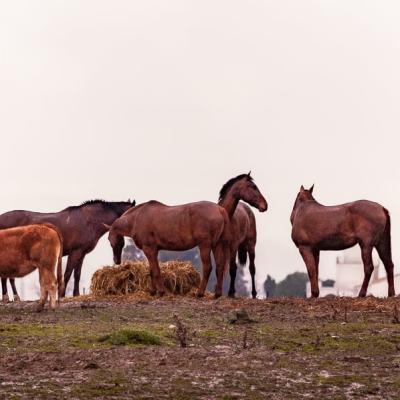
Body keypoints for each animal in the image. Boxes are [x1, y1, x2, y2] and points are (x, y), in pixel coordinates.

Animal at [0, 198, 135, 300]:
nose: (117, 261)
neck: (89, 220)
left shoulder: (81, 253)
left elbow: (77, 274)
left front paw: (76, 294)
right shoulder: (75, 252)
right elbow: (68, 274)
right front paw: (61, 295)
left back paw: (12, 297)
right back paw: (9, 297)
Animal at [108, 173, 268, 296]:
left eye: (110, 240)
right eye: (253, 187)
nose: (116, 260)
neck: (137, 217)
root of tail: (220, 210)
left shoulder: (150, 249)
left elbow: (156, 270)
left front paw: (160, 291)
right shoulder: (153, 251)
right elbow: (152, 270)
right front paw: (153, 291)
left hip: (209, 246)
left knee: (209, 267)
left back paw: (200, 293)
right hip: (217, 245)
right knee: (220, 266)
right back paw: (217, 294)